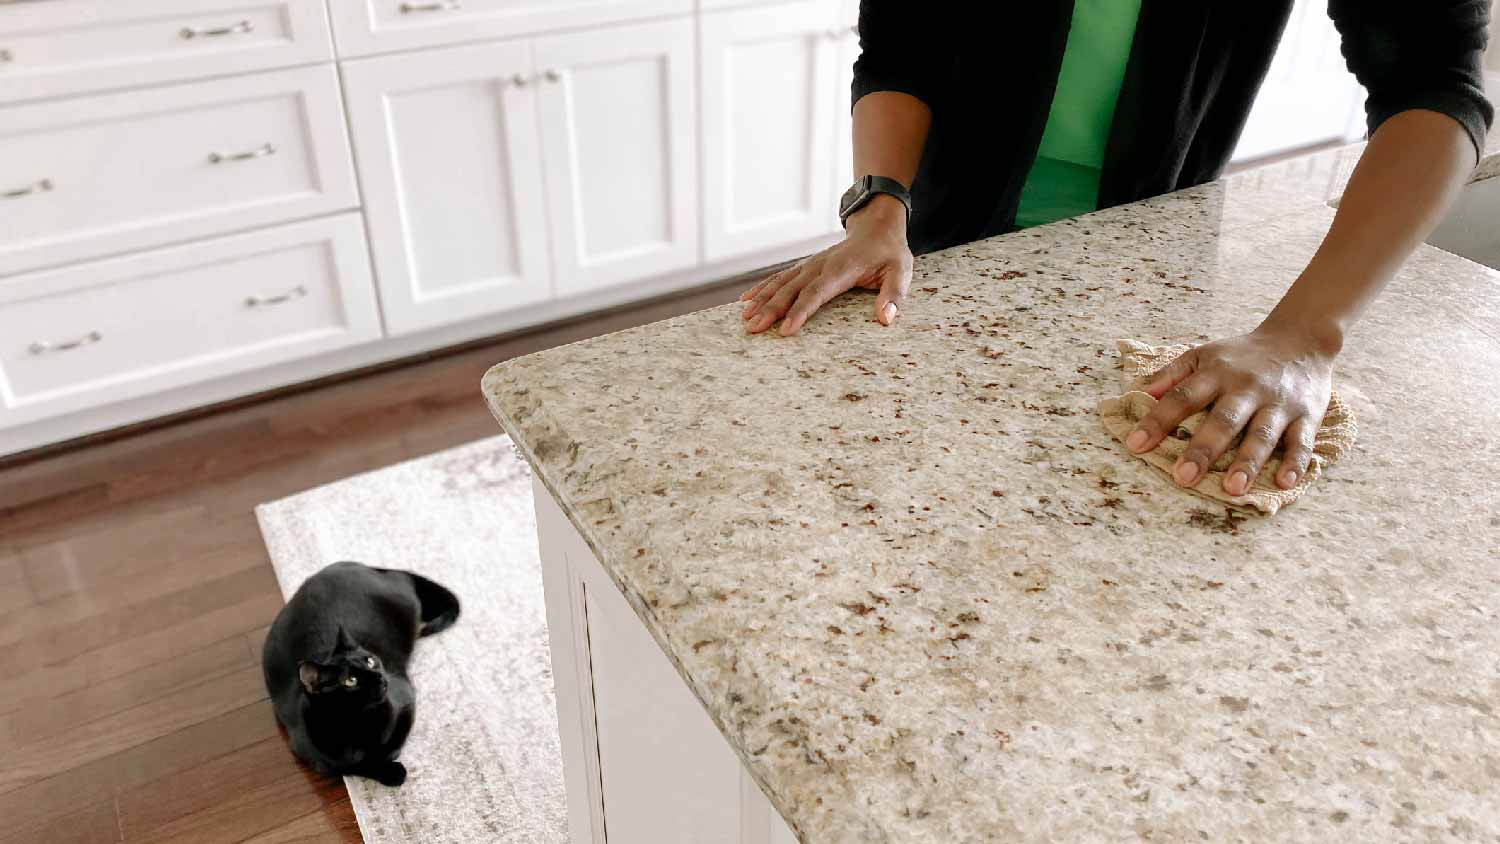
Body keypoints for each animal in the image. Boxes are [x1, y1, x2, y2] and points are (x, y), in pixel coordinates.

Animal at [261, 560, 456, 785]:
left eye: (371, 661)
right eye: (350, 680)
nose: (379, 677)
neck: (361, 724)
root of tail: (360, 565)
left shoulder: (406, 698)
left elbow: (390, 745)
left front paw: (389, 760)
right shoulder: (312, 755)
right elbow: (357, 765)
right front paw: (391, 772)